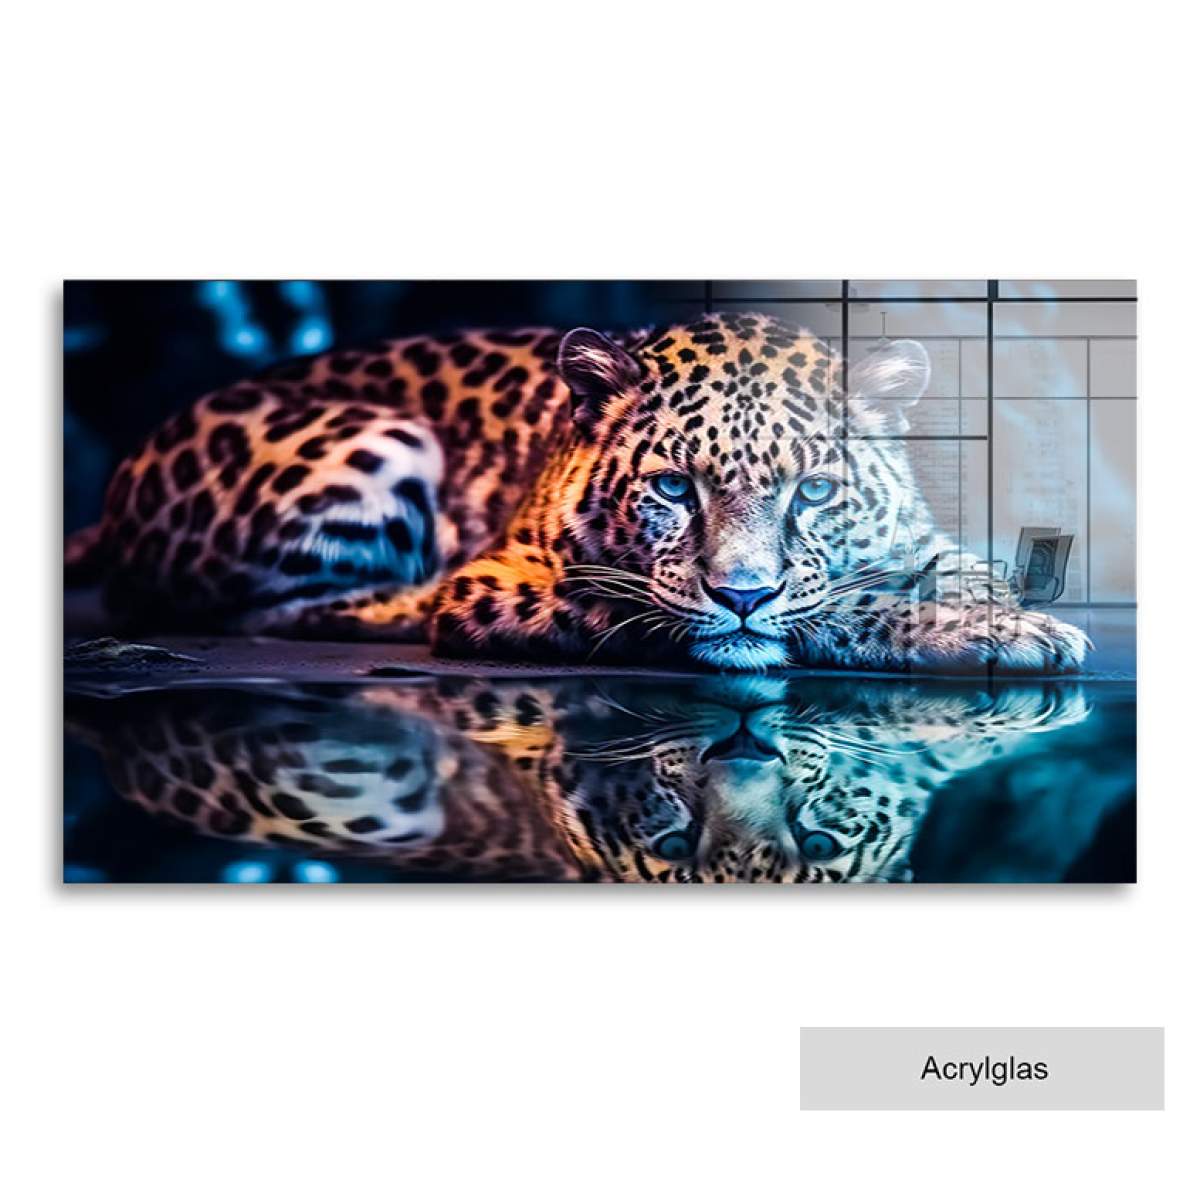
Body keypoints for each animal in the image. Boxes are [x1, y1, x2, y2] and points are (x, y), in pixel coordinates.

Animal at [65, 312, 1089, 673]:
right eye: (673, 487)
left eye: (814, 492)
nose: (743, 594)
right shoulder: (518, 586)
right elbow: (834, 608)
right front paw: (993, 635)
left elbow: (940, 568)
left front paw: (993, 606)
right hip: (379, 440)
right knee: (263, 612)